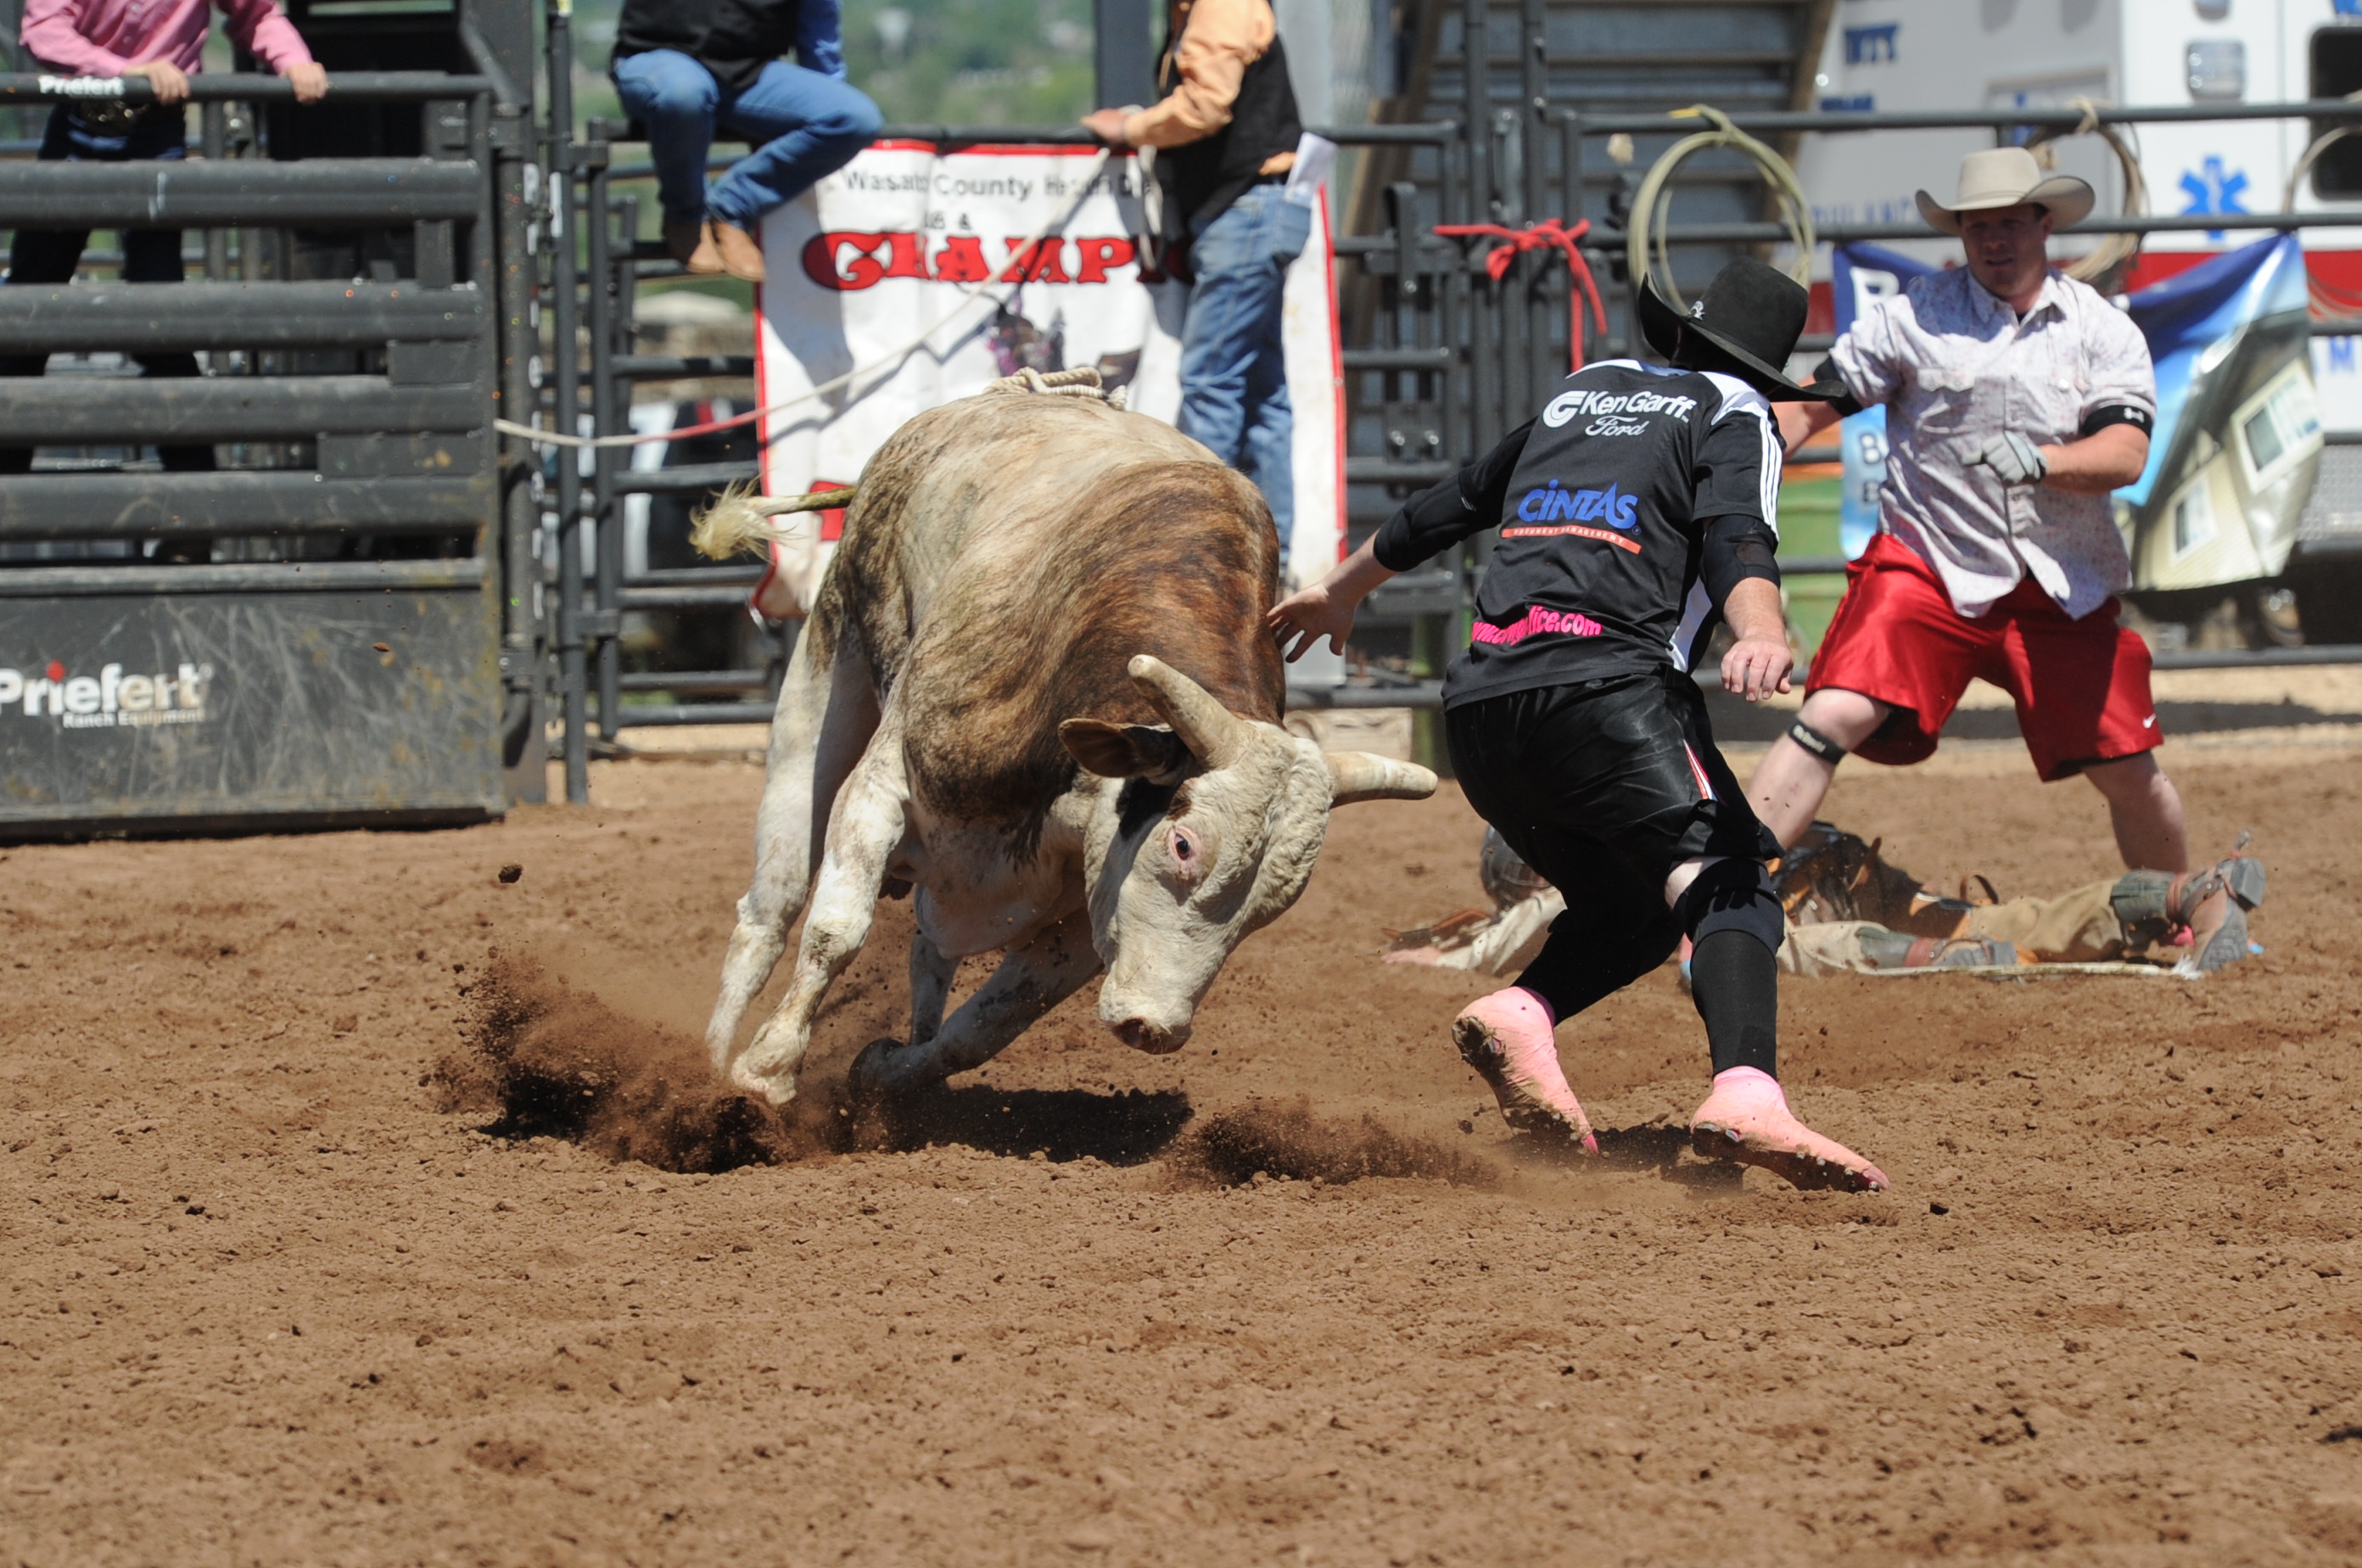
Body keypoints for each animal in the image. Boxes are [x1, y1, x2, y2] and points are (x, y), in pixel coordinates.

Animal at [699, 389, 1436, 1100]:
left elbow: (988, 1026)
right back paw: (710, 1060)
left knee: (928, 957)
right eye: (1183, 845)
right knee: (771, 909)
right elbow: (836, 931)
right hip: (824, 670)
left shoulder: (1085, 920)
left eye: (1278, 902)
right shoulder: (883, 785)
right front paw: (767, 1068)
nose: (1155, 1028)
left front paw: (890, 1071)